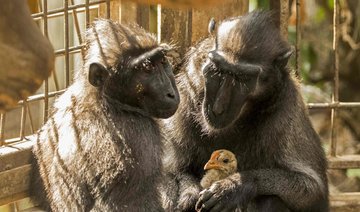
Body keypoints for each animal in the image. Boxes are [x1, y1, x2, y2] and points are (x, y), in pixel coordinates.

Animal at [162, 11, 330, 212]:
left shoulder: (286, 111)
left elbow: (313, 190)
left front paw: (234, 187)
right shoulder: (183, 96)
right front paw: (188, 192)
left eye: (243, 78)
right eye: (218, 70)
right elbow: (166, 173)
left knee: (272, 199)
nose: (218, 107)